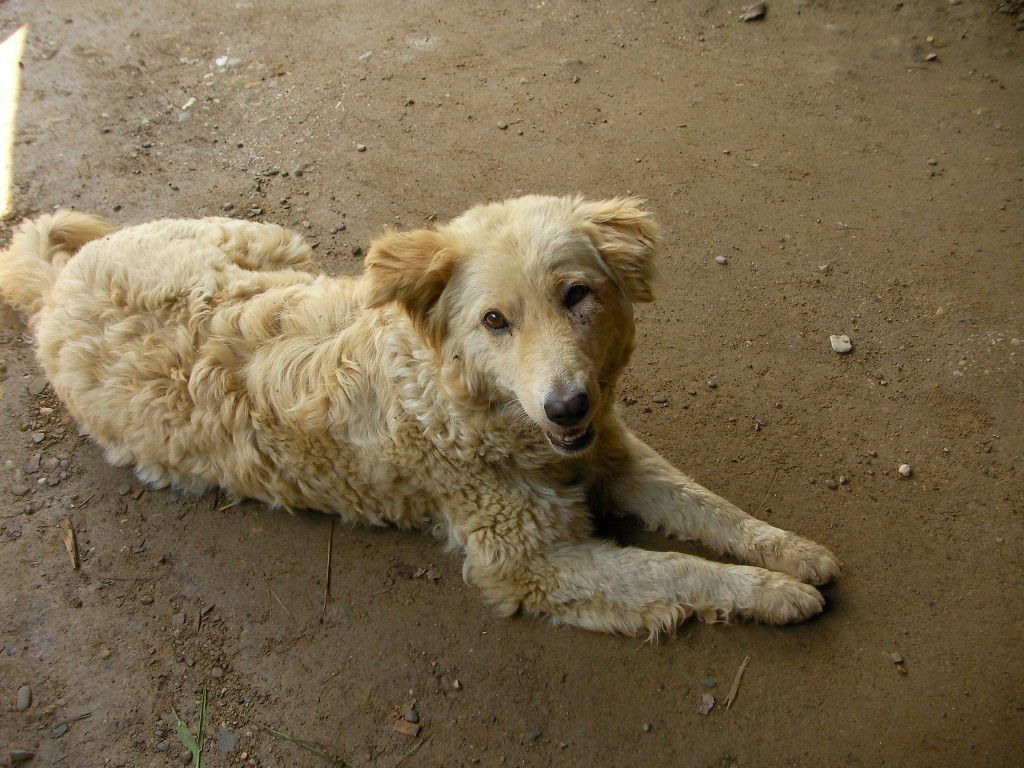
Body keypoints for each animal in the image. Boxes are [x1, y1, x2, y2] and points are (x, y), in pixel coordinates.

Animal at [2, 196, 839, 638]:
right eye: (495, 321)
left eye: (577, 296)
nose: (567, 404)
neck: (460, 397)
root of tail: (58, 290)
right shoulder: (530, 564)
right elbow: (677, 567)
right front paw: (772, 594)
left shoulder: (612, 451)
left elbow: (712, 508)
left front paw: (790, 551)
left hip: (270, 247)